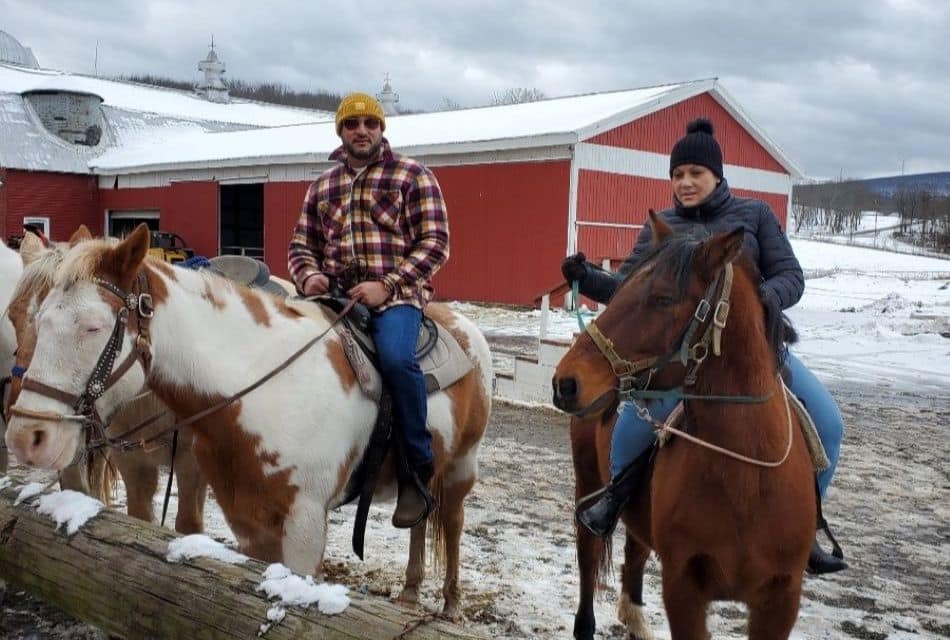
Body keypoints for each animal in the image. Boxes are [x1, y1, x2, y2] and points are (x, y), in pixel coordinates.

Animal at [7, 224, 494, 616]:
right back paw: (410, 594)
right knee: (418, 519)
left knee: (452, 523)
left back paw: (451, 605)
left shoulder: (304, 526)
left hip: (461, 468)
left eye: (92, 326)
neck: (263, 388)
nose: (27, 436)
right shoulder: (248, 519)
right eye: (25, 317)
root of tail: (464, 326)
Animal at [556, 212, 816, 636]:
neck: (746, 478)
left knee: (634, 549)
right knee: (588, 555)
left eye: (663, 299)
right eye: (620, 287)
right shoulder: (683, 589)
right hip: (588, 482)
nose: (566, 382)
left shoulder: (781, 600)